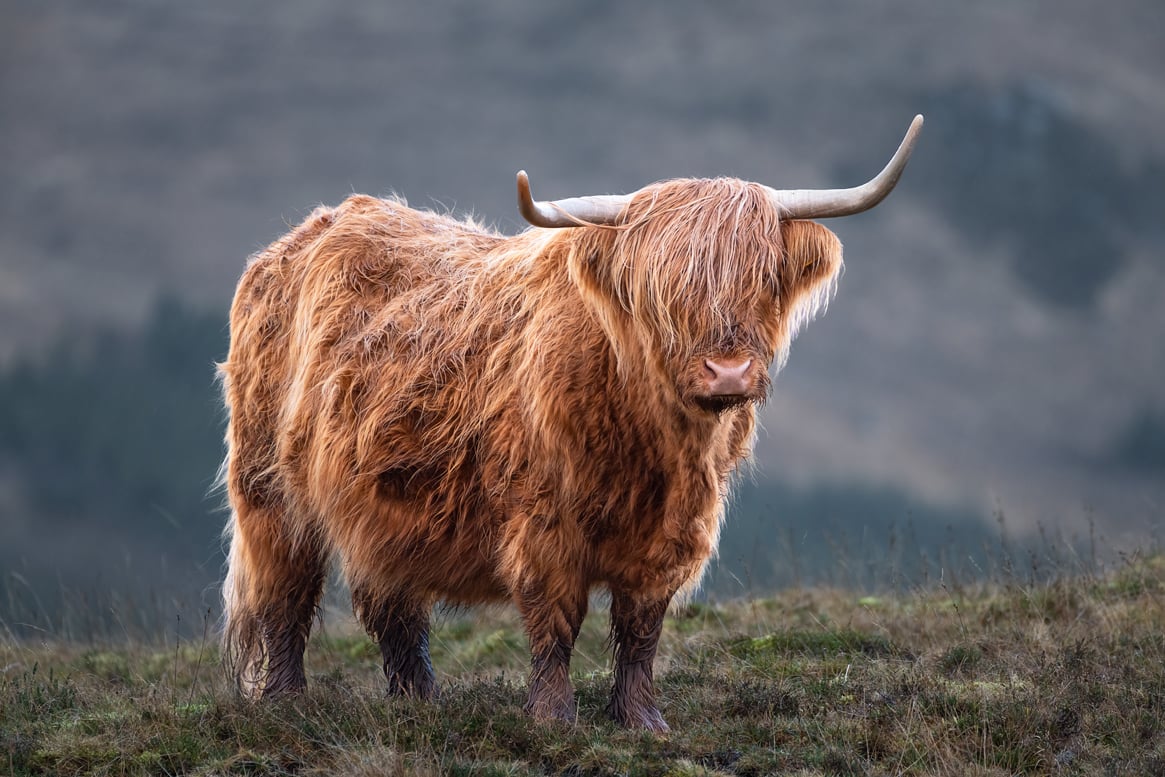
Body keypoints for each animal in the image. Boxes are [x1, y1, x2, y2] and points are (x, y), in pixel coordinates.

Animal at [219, 114, 922, 731]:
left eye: (765, 277)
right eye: (661, 289)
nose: (728, 372)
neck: (654, 447)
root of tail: (295, 240)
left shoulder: (675, 534)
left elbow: (641, 628)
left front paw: (642, 720)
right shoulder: (543, 522)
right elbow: (555, 619)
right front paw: (554, 717)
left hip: (383, 505)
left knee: (390, 601)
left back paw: (421, 700)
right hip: (268, 489)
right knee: (285, 590)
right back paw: (286, 701)